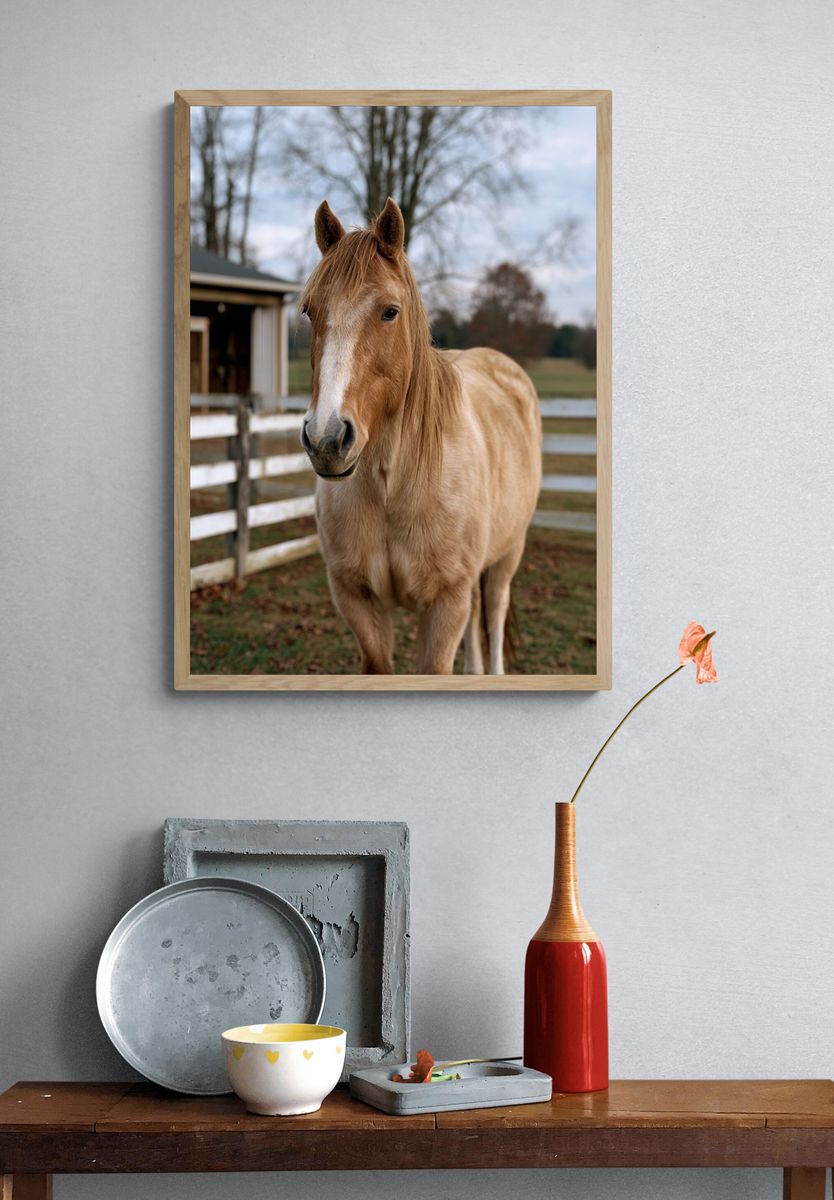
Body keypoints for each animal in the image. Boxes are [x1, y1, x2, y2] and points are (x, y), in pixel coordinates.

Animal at [299, 197, 542, 675]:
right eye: (310, 311)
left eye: (390, 311)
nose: (326, 439)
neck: (393, 485)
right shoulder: (358, 601)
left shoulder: (445, 603)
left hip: (507, 555)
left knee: (495, 613)